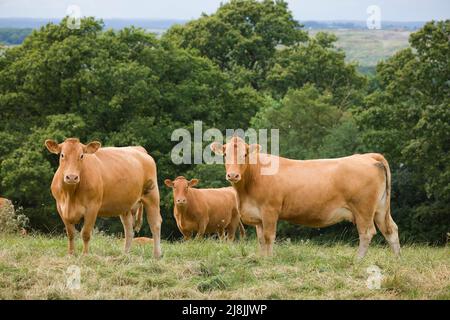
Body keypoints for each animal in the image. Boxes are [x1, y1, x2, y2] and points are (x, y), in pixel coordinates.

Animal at [213, 136, 402, 260]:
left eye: (245, 155)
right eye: (225, 155)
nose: (233, 175)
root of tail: (367, 156)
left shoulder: (270, 210)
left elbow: (268, 237)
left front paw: (269, 260)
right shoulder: (258, 216)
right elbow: (261, 240)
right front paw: (262, 259)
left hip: (363, 209)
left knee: (367, 233)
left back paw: (358, 261)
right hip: (380, 208)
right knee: (391, 229)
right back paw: (397, 260)